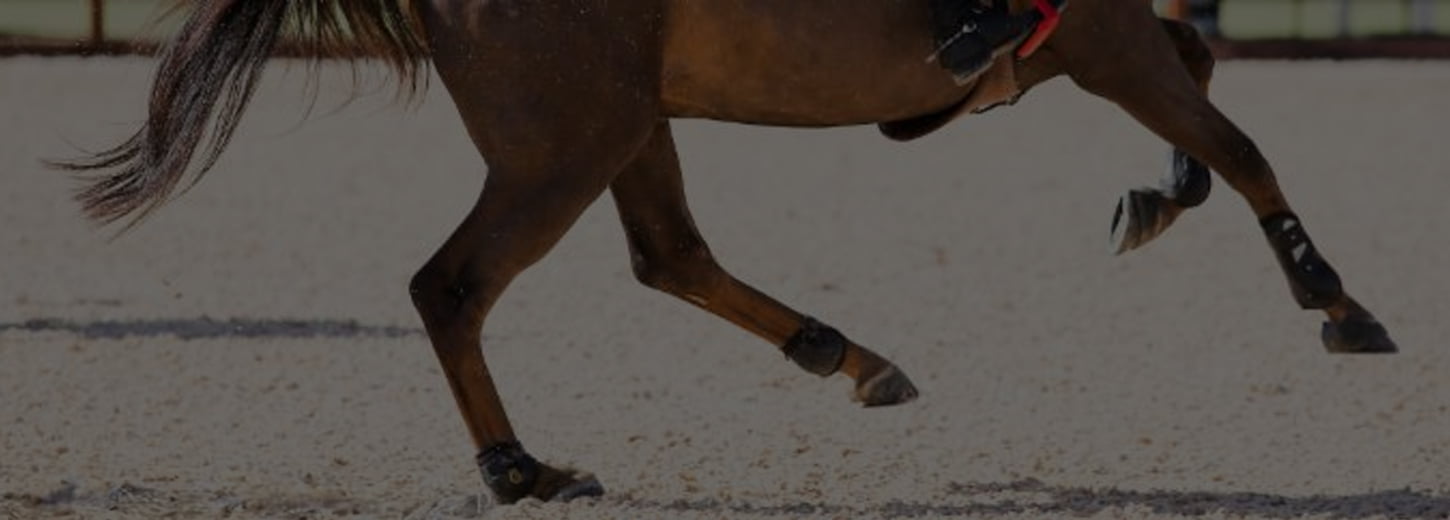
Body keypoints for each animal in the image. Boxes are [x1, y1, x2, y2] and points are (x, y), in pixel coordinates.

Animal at [57, 0, 1397, 505]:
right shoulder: (1104, 35)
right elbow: (1242, 143)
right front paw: (1333, 299)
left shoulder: (1104, 36)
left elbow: (1208, 89)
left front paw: (1154, 199)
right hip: (566, 145)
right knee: (456, 284)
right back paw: (519, 469)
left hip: (624, 122)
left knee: (669, 255)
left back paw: (845, 353)